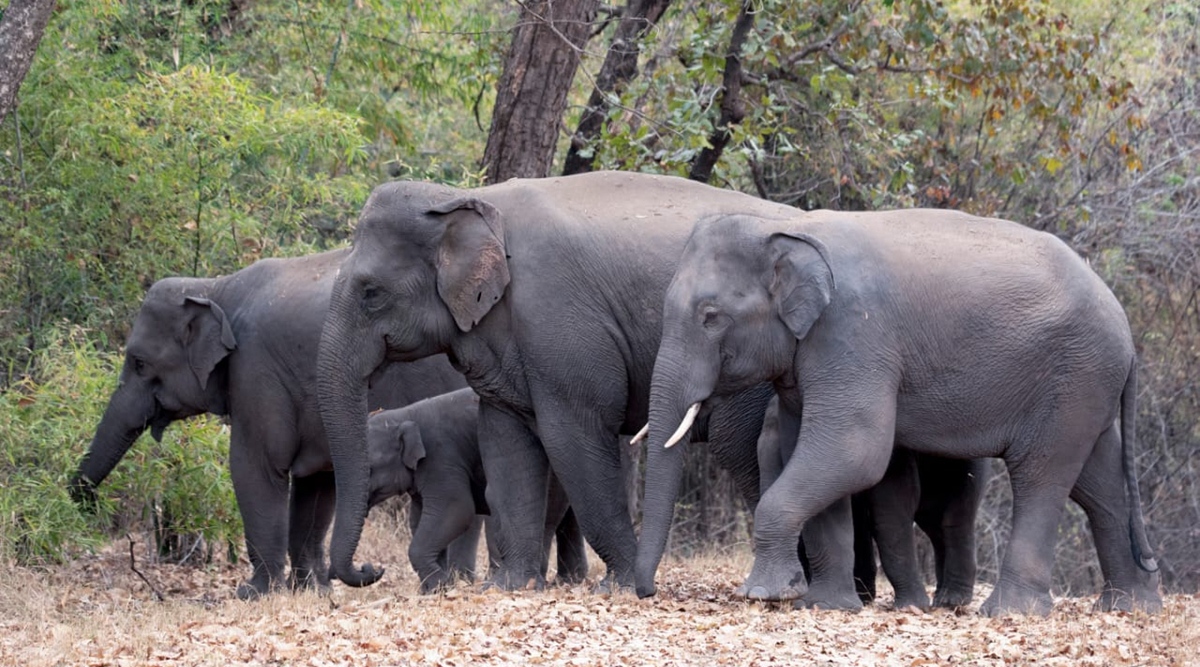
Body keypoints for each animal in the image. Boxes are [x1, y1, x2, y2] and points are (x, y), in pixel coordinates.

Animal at [66, 248, 472, 599]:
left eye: (138, 362)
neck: (214, 287)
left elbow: (255, 468)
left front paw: (253, 593)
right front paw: (310, 591)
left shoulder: (255, 369)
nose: (89, 503)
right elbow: (316, 485)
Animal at [364, 386, 590, 595]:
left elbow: (456, 509)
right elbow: (418, 518)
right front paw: (433, 590)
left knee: (549, 517)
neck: (404, 415)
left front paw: (441, 587)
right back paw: (568, 581)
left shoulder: (441, 459)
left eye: (370, 469)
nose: (375, 568)